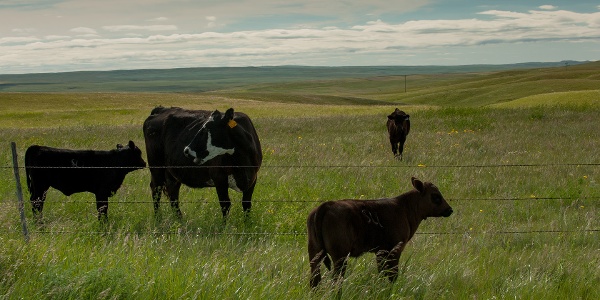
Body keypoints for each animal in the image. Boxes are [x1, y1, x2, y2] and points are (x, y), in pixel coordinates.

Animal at [308, 177, 452, 288]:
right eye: (436, 196)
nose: (450, 210)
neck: (404, 208)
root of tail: (327, 205)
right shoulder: (394, 249)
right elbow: (392, 274)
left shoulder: (380, 251)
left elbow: (382, 273)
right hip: (340, 256)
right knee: (336, 280)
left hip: (315, 253)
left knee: (315, 280)